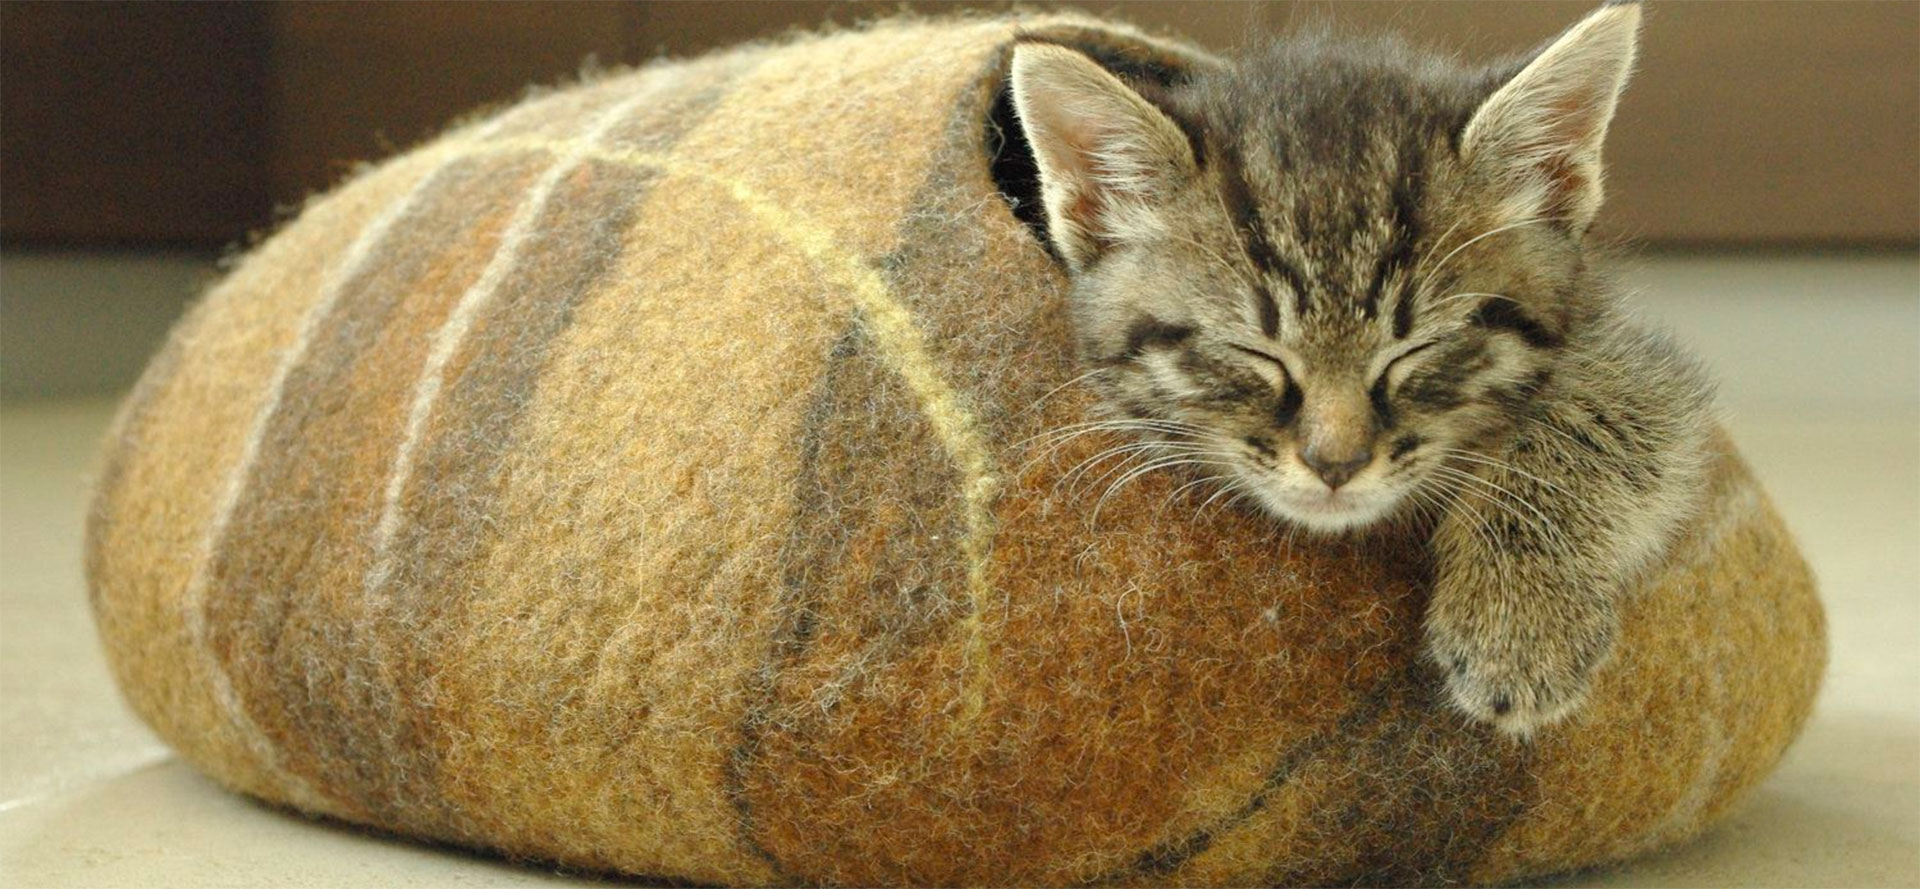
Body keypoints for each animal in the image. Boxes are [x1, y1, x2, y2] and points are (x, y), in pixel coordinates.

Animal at [1013, 1, 1720, 737]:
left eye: (1415, 350)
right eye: (1255, 352)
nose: (1336, 464)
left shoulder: (1627, 352)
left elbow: (1600, 418)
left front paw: (1518, 622)